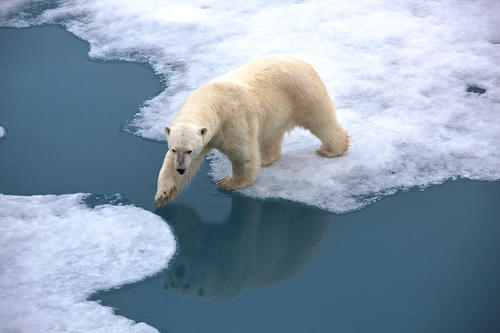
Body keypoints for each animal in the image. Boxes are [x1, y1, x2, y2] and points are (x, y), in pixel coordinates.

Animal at [154, 54, 350, 205]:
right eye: (175, 149)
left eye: (189, 150)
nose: (180, 169)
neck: (212, 102)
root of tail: (302, 62)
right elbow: (169, 163)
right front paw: (163, 194)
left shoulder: (233, 122)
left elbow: (243, 155)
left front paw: (227, 182)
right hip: (277, 110)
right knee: (272, 136)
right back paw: (264, 158)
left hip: (303, 93)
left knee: (321, 121)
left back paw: (330, 150)